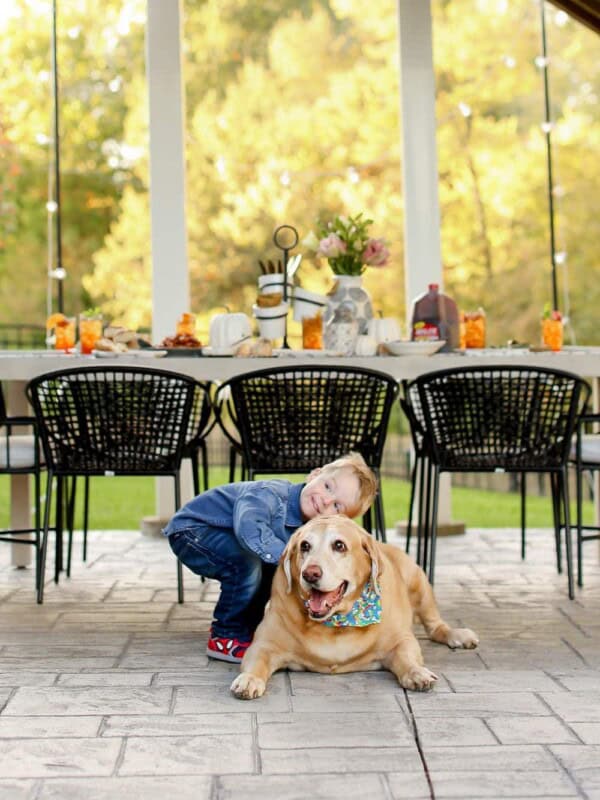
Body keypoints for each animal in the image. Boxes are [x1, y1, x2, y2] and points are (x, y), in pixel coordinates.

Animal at [231, 516, 478, 696]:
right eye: (304, 546)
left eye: (339, 545)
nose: (310, 573)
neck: (337, 622)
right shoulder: (264, 644)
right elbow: (258, 660)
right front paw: (249, 679)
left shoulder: (401, 640)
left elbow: (407, 657)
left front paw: (417, 673)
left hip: (419, 583)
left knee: (436, 626)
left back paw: (458, 635)